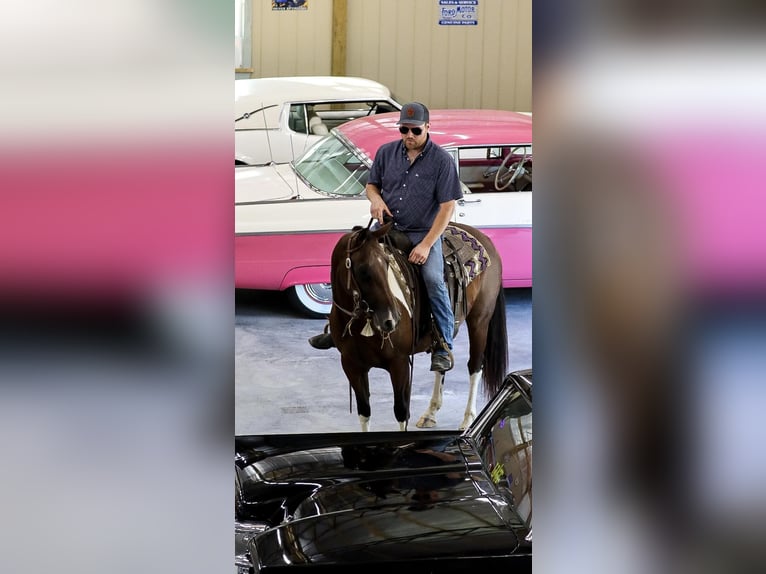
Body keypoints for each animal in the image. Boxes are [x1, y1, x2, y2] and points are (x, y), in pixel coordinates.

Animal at [330, 219, 510, 432]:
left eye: (387, 264)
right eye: (363, 270)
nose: (392, 319)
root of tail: (484, 239)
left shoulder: (399, 364)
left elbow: (401, 411)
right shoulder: (352, 366)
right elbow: (364, 412)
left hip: (479, 321)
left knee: (475, 366)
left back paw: (468, 420)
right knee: (442, 362)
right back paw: (430, 413)